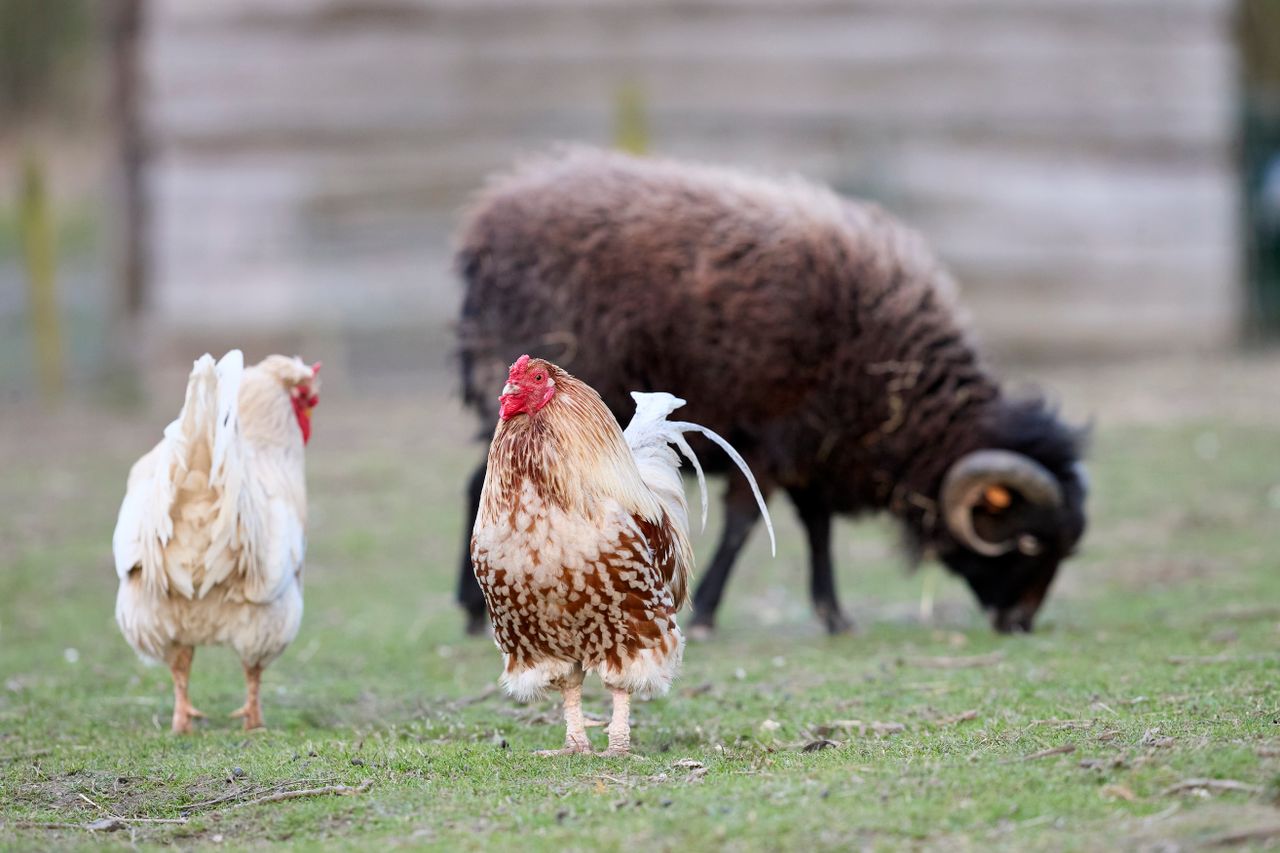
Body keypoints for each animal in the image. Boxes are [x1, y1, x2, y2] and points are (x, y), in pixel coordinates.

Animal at [454, 147, 1088, 636]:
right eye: (1028, 542)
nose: (1020, 624)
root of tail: (484, 223)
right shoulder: (770, 438)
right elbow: (743, 523)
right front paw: (708, 614)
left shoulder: (817, 444)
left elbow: (819, 528)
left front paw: (834, 615)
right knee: (482, 485)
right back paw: (476, 611)